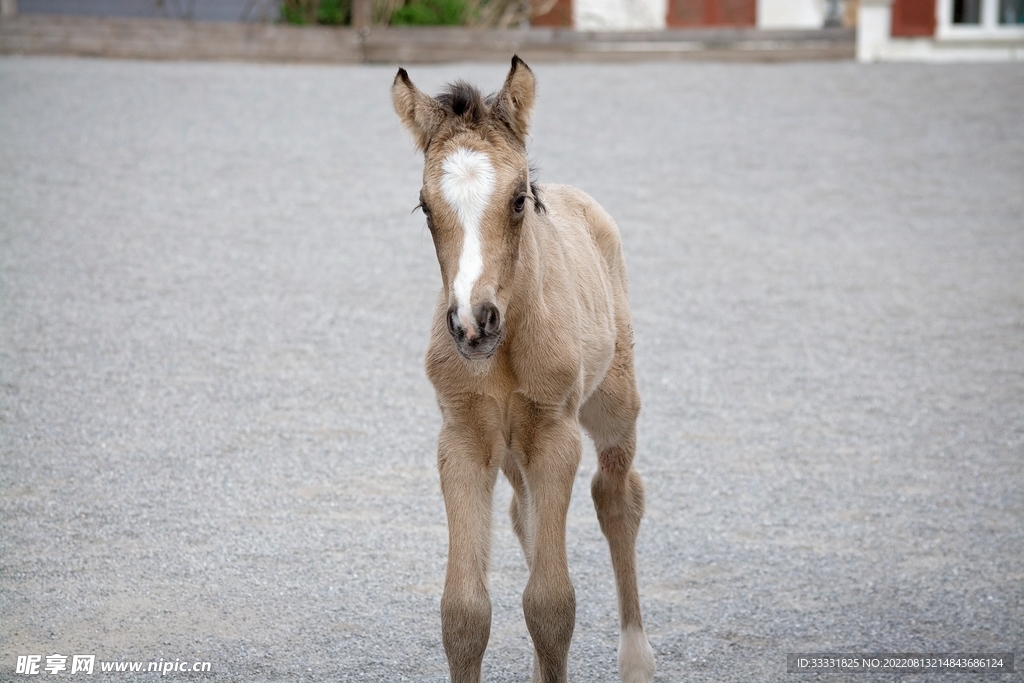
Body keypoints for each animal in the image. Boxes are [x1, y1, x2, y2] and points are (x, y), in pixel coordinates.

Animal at [391, 56, 655, 683]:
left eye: (517, 200)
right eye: (425, 206)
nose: (472, 323)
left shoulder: (556, 431)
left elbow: (551, 603)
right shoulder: (463, 435)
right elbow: (464, 610)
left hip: (612, 405)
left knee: (618, 495)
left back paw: (636, 659)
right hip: (512, 445)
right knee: (523, 512)